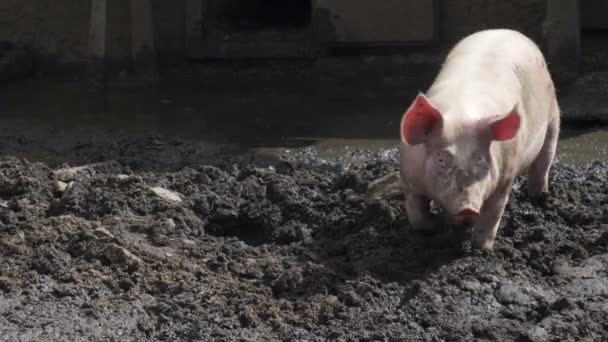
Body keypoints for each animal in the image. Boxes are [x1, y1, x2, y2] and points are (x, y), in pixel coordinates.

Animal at [400, 28, 560, 250]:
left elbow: (492, 216)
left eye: (481, 158)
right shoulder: (409, 178)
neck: (461, 114)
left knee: (543, 164)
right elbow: (417, 214)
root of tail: (504, 30)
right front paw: (433, 228)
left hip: (553, 117)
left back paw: (539, 198)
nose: (468, 208)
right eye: (441, 159)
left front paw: (481, 250)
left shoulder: (504, 179)